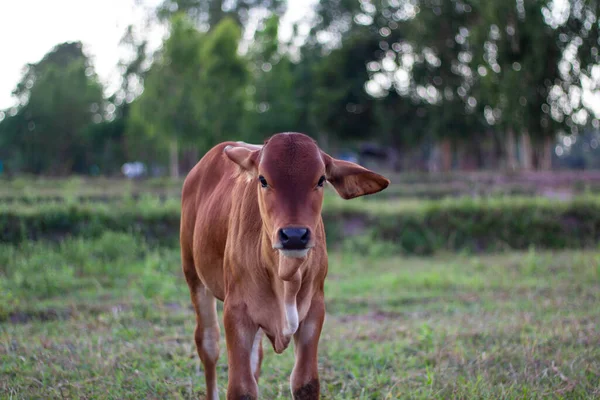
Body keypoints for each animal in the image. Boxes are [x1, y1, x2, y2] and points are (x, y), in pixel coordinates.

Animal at [180, 133, 392, 398]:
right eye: (262, 179)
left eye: (321, 179)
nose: (294, 235)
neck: (286, 277)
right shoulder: (236, 311)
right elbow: (241, 389)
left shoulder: (314, 311)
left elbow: (305, 383)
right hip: (193, 277)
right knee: (208, 344)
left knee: (255, 357)